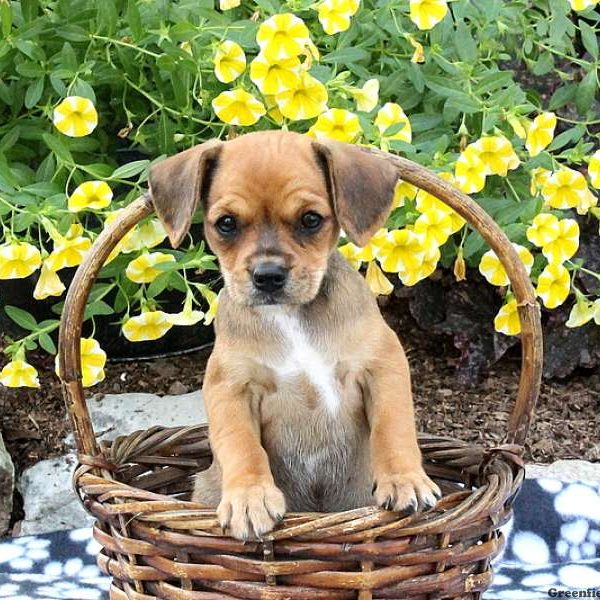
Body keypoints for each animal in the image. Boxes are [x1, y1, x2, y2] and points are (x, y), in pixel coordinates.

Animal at [150, 130, 440, 540]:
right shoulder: (230, 388)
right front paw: (250, 497)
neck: (289, 317)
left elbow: (393, 427)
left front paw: (404, 480)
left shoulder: (383, 366)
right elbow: (242, 445)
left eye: (310, 219)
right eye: (226, 224)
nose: (268, 275)